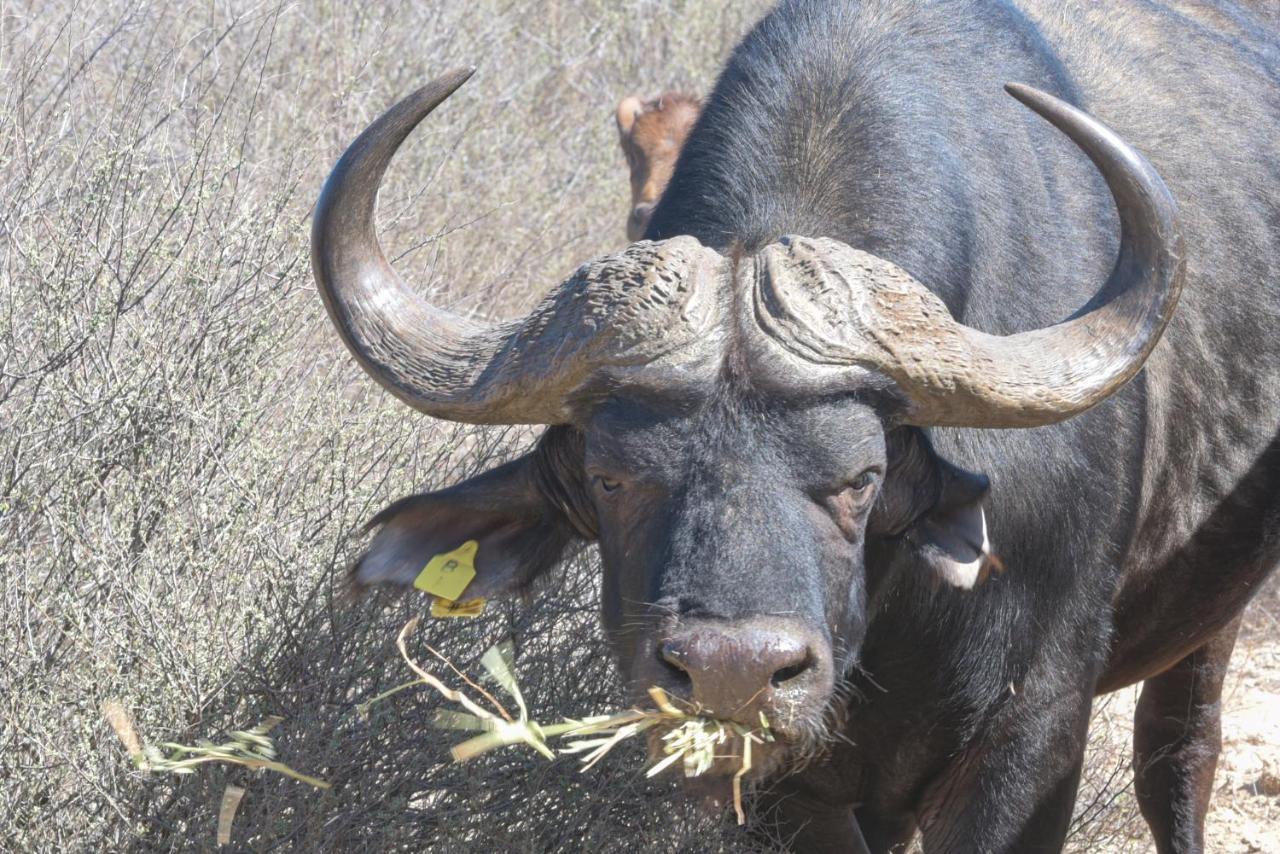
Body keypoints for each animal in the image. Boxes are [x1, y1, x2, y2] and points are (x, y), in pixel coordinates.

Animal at [312, 1, 1280, 854]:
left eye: (862, 480)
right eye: (610, 478)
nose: (732, 673)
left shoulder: (1030, 733)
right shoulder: (790, 791)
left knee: (1178, 757)